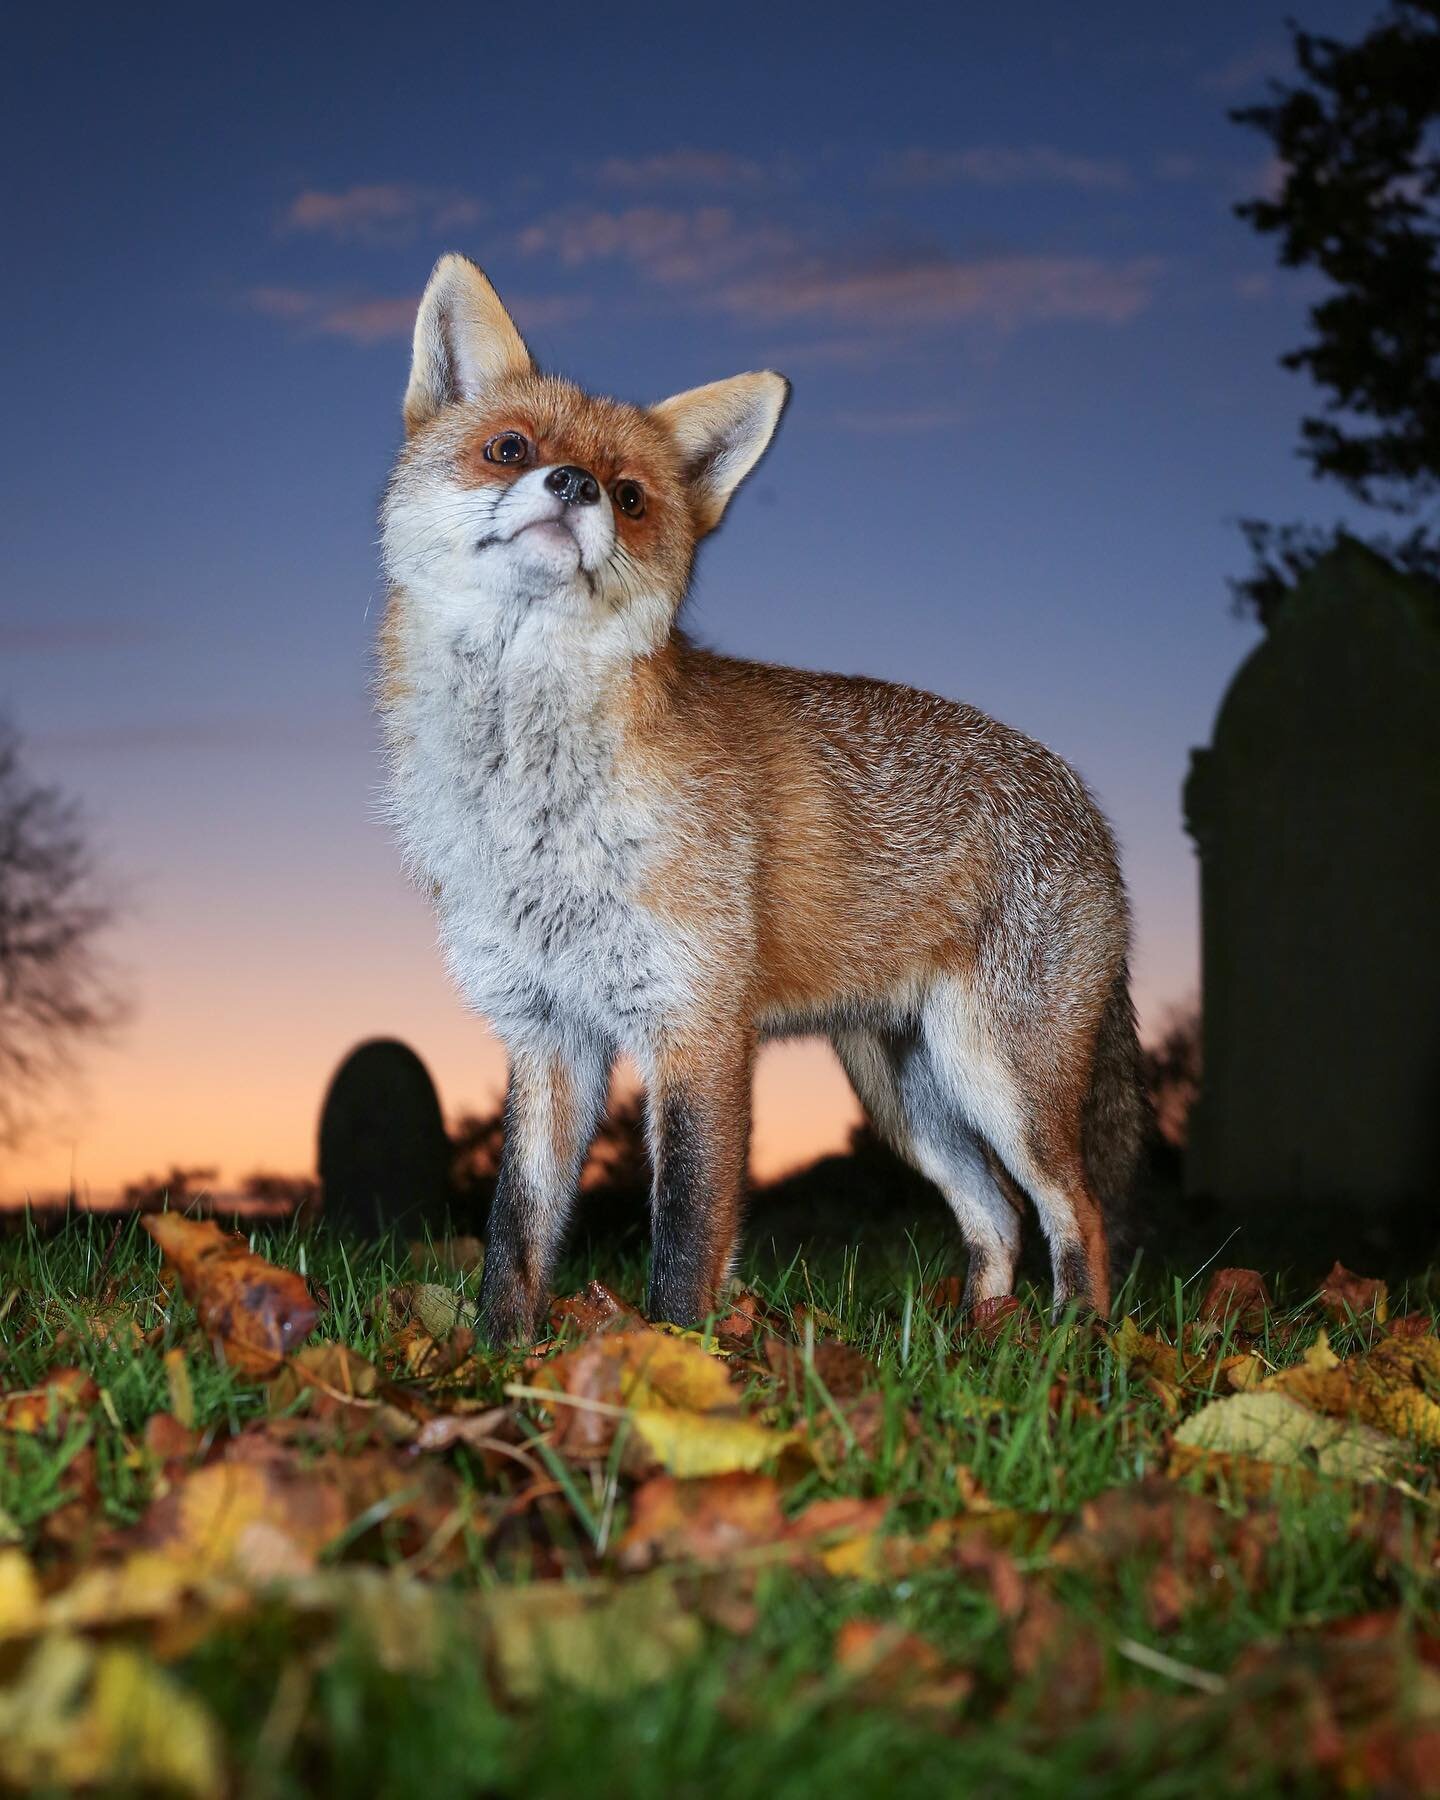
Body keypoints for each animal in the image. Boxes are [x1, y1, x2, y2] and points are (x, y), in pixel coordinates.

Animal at [376, 261, 1144, 1346]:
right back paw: (979, 1346)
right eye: (511, 448)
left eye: (631, 496)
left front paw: (671, 1366)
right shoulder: (546, 1027)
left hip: (999, 1078)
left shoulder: (696, 1022)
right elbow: (515, 1230)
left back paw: (1077, 1352)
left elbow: (687, 1236)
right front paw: (493, 1357)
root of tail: (1087, 803)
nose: (574, 487)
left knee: (1075, 1211)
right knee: (996, 1217)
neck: (535, 808)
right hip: (907, 1096)